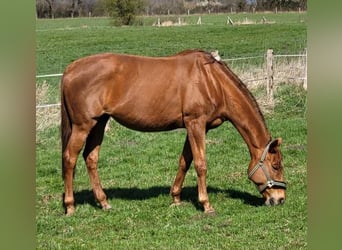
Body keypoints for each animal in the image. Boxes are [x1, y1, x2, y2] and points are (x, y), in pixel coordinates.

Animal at [61, 49, 286, 215]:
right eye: (275, 166)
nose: (280, 199)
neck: (211, 80)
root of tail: (71, 68)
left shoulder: (195, 127)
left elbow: (184, 161)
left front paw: (176, 198)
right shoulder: (196, 123)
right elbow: (200, 164)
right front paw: (206, 205)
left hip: (99, 123)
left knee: (91, 158)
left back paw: (104, 202)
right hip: (83, 126)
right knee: (70, 158)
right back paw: (70, 206)